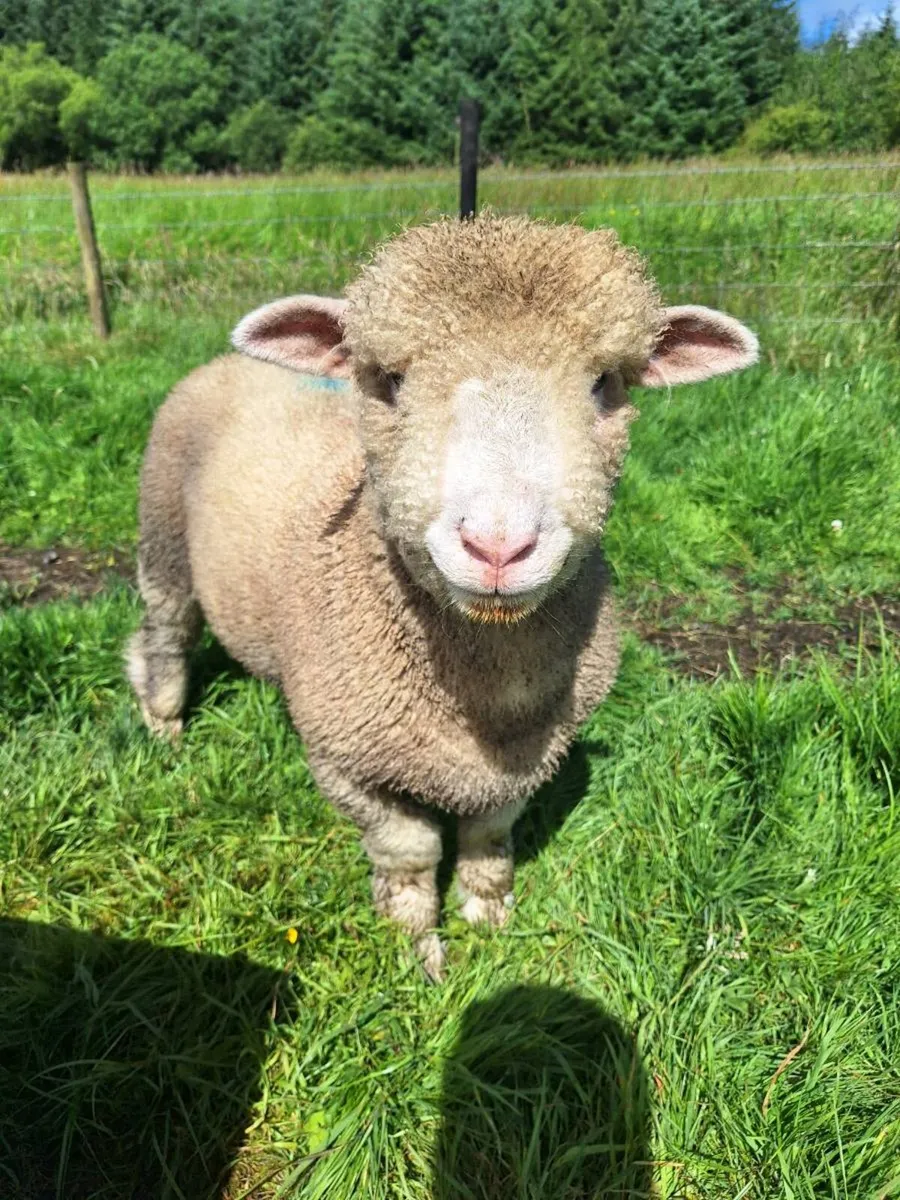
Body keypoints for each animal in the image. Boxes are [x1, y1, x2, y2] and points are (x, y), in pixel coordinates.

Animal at [127, 215, 758, 978]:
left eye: (605, 385)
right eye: (390, 381)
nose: (497, 547)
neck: (482, 694)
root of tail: (229, 361)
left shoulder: (532, 756)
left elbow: (490, 836)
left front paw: (488, 916)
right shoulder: (349, 765)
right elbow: (411, 853)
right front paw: (415, 947)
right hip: (164, 533)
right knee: (163, 635)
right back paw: (164, 726)